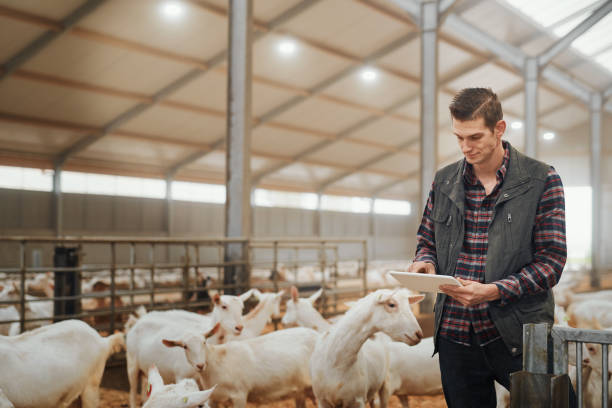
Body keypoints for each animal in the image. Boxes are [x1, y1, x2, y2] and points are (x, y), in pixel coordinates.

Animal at [164, 324, 316, 406]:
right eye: (185, 346)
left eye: (204, 342)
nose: (200, 365)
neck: (217, 362)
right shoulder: (213, 399)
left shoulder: (239, 395)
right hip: (302, 391)